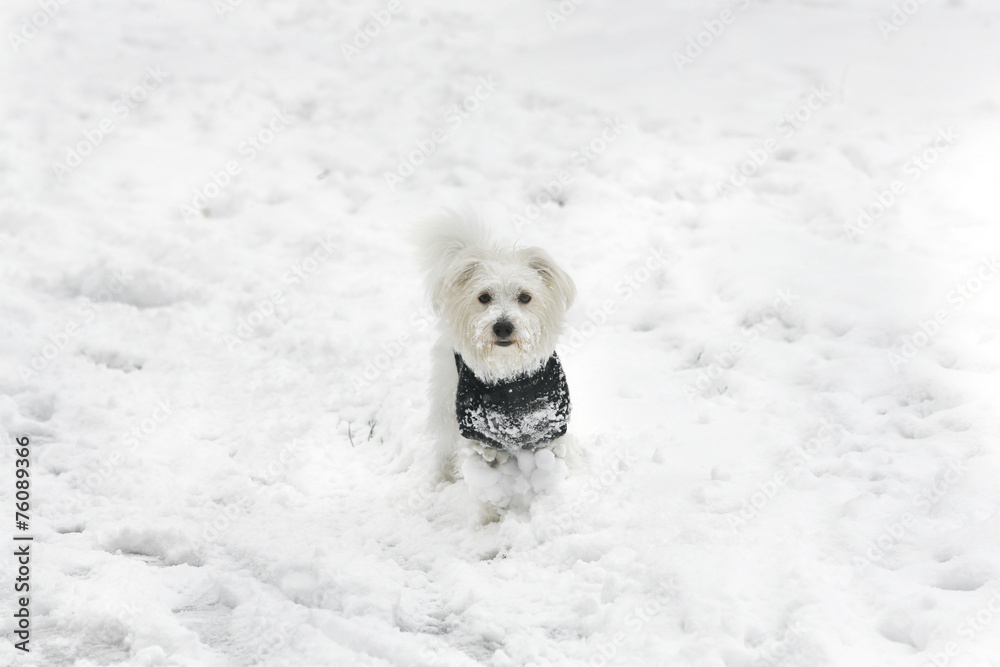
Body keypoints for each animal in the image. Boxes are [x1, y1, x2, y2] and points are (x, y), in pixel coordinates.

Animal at [414, 209, 576, 496]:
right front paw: (492, 509)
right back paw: (441, 478)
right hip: (446, 399)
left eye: (525, 297)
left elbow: (547, 469)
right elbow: (486, 485)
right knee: (444, 444)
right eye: (483, 297)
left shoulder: (550, 428)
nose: (502, 326)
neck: (510, 379)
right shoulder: (479, 436)